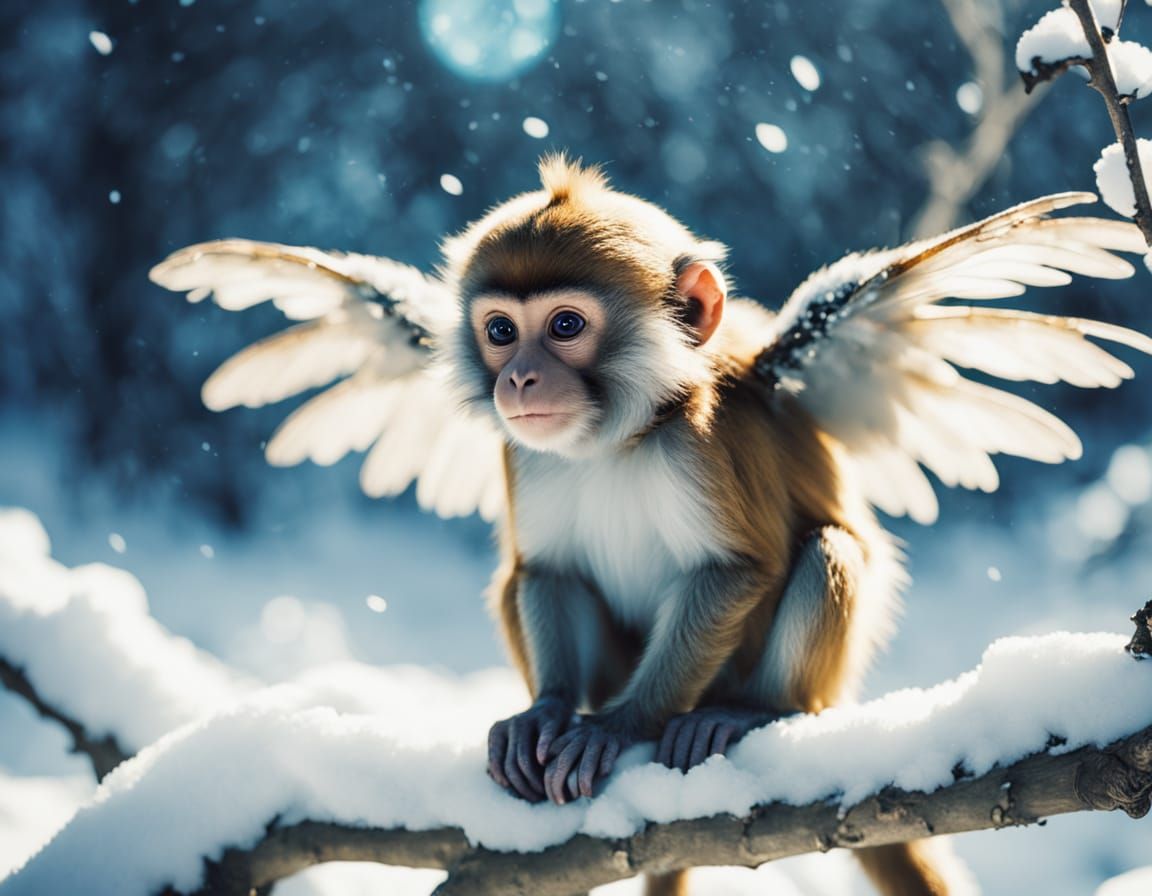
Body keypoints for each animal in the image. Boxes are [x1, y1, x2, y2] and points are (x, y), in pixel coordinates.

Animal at [151, 155, 1152, 896]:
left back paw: (747, 713)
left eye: (564, 325)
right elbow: (547, 572)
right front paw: (550, 713)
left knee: (827, 551)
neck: (619, 437)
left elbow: (737, 569)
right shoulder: (527, 455)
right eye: (500, 332)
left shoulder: (701, 444)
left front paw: (620, 727)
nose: (519, 380)